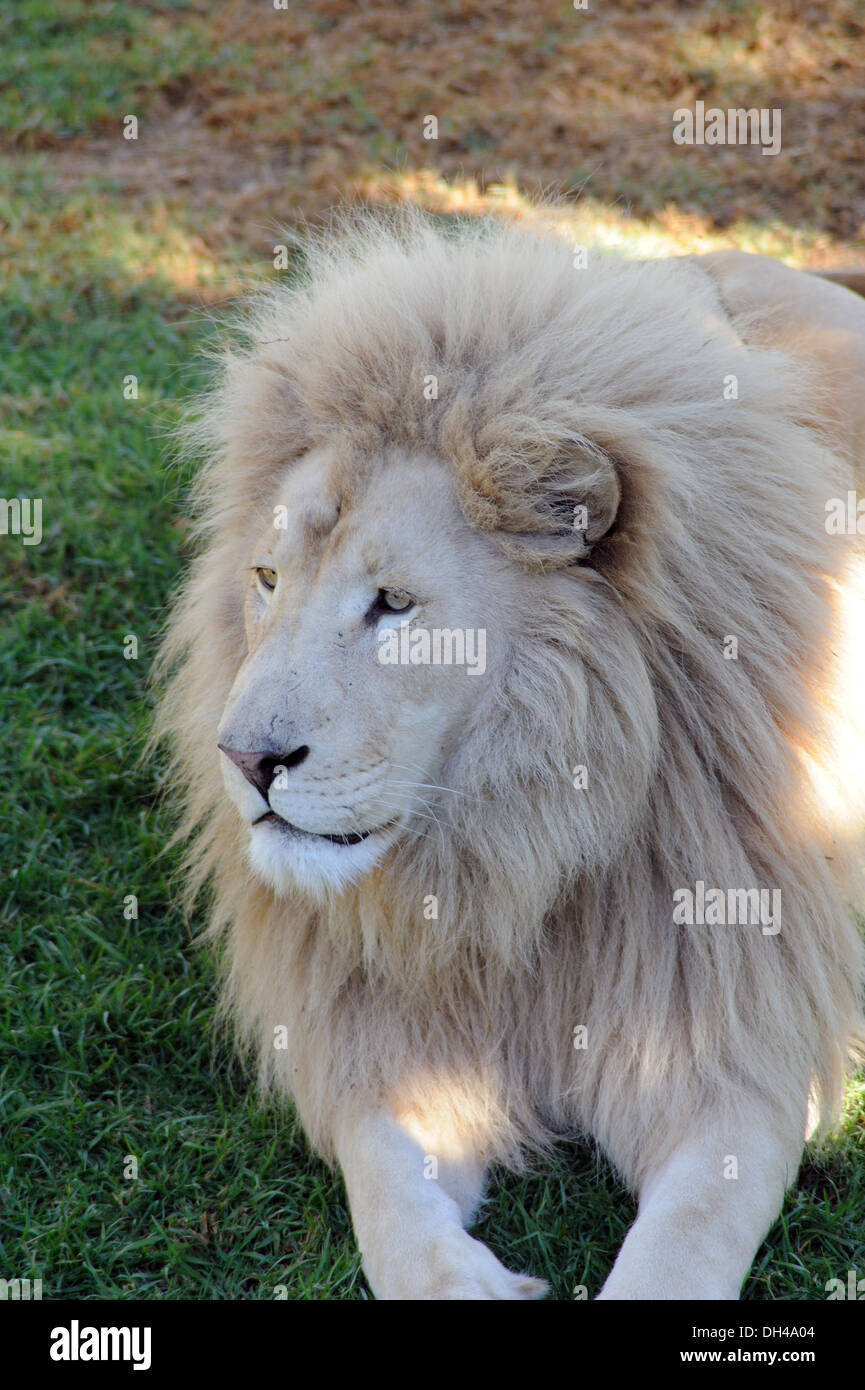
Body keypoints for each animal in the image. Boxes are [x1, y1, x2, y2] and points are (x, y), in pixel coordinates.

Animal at [155, 210, 865, 1300]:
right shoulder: (389, 1049)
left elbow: (683, 1245)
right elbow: (392, 1209)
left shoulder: (733, 1053)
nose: (244, 758)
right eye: (267, 580)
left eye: (393, 604)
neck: (519, 842)